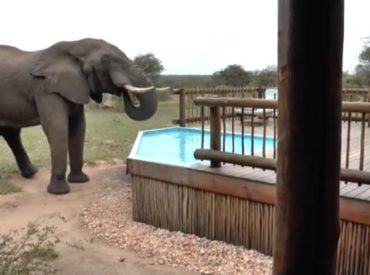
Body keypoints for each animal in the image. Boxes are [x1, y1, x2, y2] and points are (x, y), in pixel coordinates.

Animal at [0, 38, 158, 194]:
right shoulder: (44, 87)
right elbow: (57, 126)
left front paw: (79, 180)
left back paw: (32, 173)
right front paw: (59, 192)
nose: (122, 90)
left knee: (11, 134)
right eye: (106, 59)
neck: (73, 45)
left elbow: (78, 127)